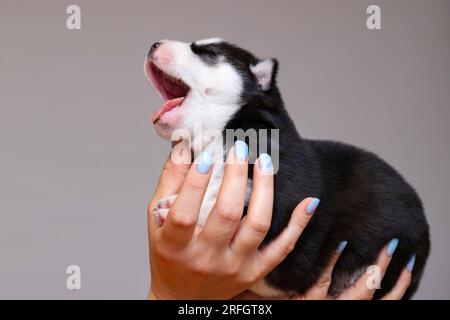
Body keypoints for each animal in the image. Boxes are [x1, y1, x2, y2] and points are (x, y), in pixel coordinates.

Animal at [144, 38, 428, 298]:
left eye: (209, 53)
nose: (154, 45)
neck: (219, 132)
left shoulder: (280, 189)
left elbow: (229, 195)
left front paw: (177, 207)